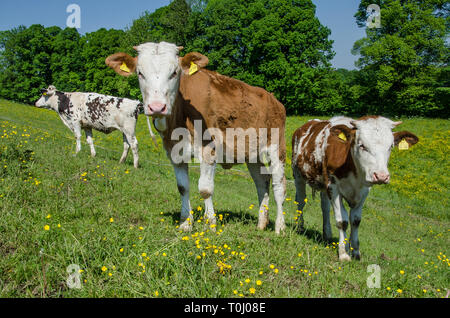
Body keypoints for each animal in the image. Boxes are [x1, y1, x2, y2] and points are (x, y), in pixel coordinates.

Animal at [107, 42, 286, 232]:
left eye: (174, 72)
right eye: (140, 73)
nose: (157, 107)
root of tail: (274, 99)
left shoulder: (208, 149)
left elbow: (205, 189)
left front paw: (211, 224)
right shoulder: (173, 151)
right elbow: (182, 187)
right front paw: (186, 223)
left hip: (277, 148)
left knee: (279, 186)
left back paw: (280, 227)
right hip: (251, 154)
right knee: (262, 182)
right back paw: (261, 223)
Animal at [292, 115, 418, 260]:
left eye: (390, 146)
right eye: (362, 145)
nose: (381, 176)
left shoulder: (363, 191)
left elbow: (356, 220)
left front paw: (356, 252)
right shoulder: (333, 186)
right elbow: (342, 221)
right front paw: (344, 253)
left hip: (323, 183)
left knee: (325, 207)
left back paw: (327, 234)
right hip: (298, 174)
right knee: (301, 201)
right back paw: (299, 227)